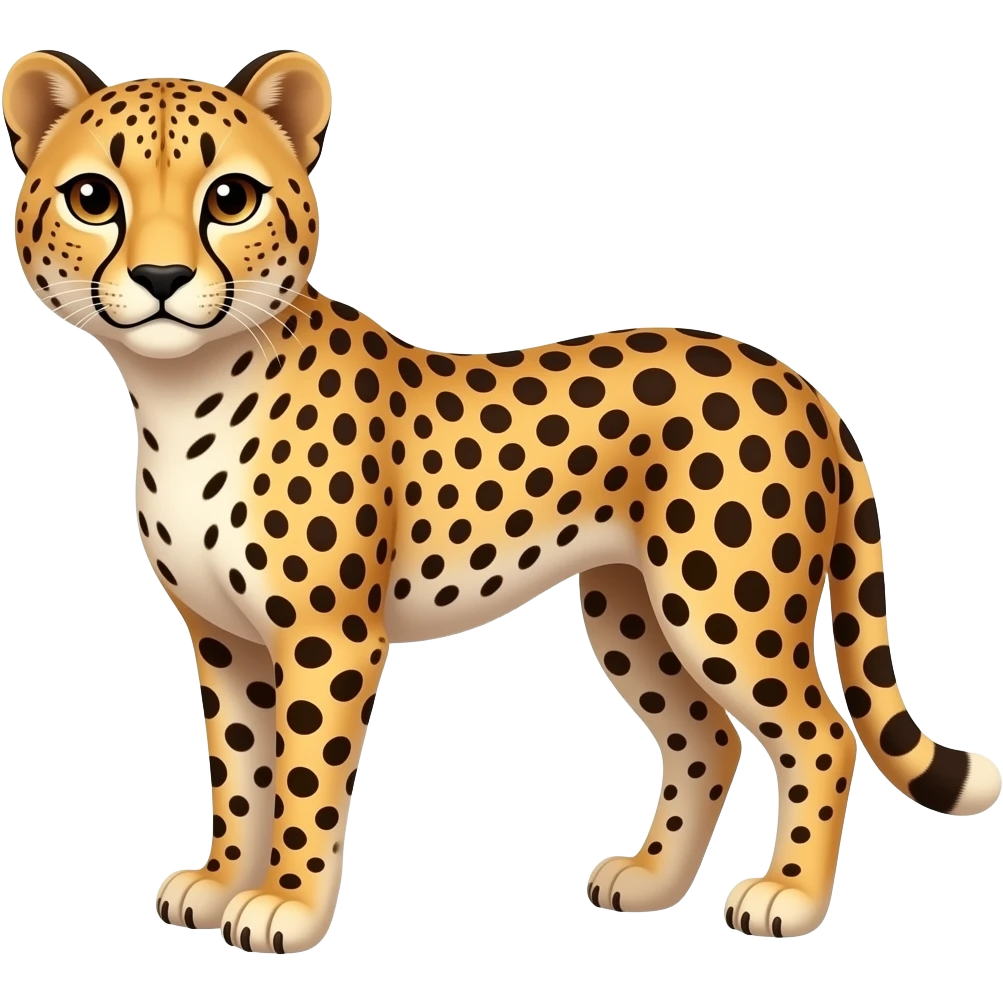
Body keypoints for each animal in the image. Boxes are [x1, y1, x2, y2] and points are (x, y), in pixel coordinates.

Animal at [5, 47, 999, 953]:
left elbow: (304, 779)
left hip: (722, 605)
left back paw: (786, 896)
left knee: (820, 735)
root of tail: (791, 377)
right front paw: (219, 882)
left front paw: (285, 903)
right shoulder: (220, 637)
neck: (182, 391)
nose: (162, 281)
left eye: (230, 198)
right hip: (630, 609)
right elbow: (239, 772)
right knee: (704, 736)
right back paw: (651, 879)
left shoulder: (327, 637)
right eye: (94, 198)